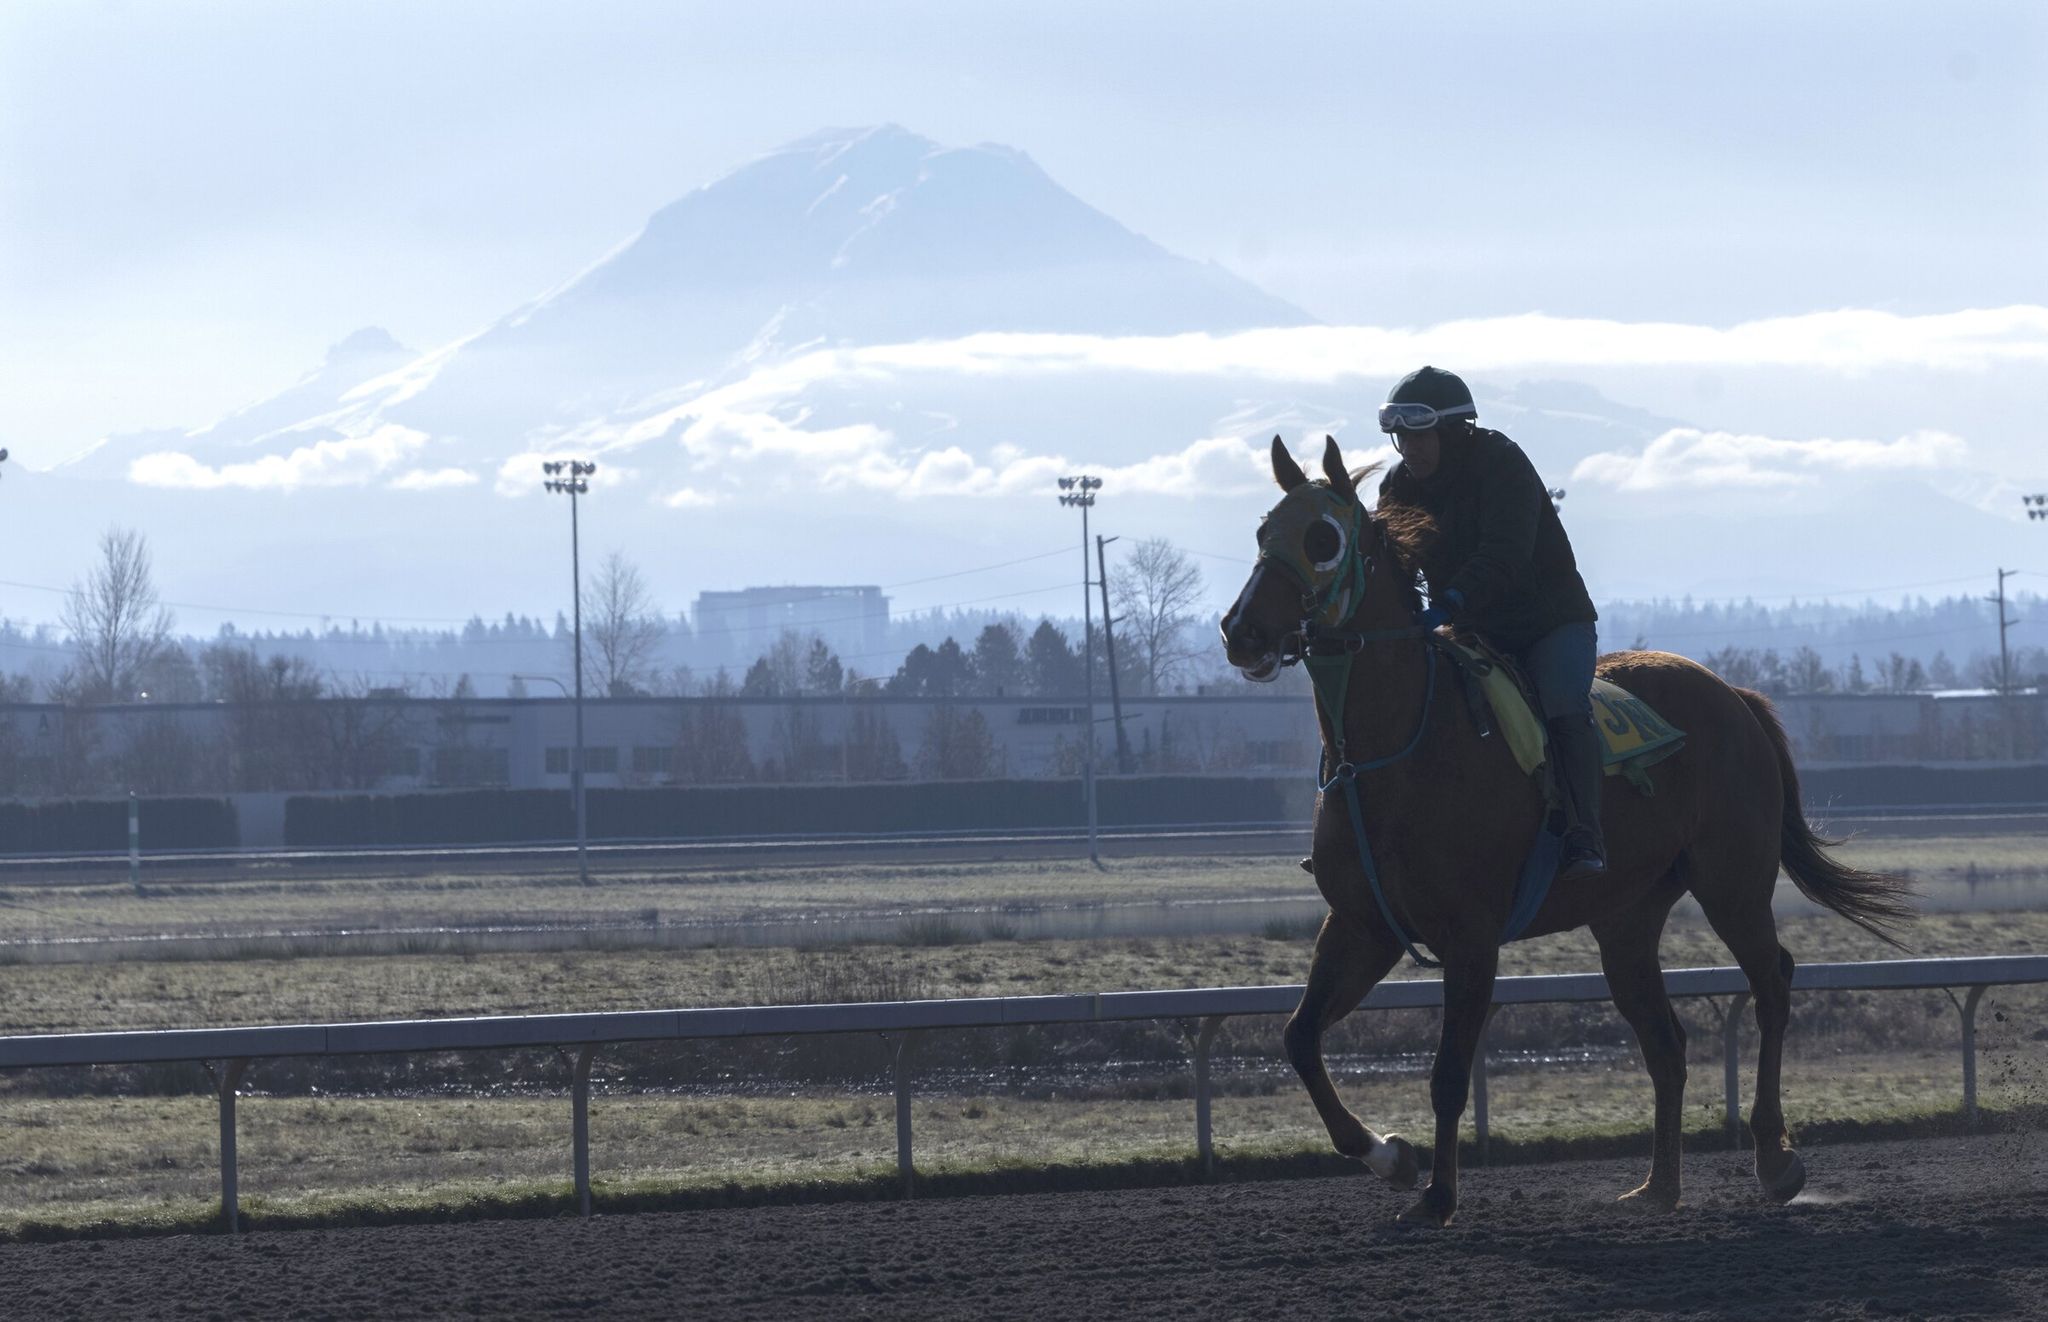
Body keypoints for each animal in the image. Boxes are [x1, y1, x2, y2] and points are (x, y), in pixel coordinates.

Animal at [1219, 435, 1914, 1227]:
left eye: (1324, 539)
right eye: (1263, 529)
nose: (1241, 631)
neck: (1401, 748)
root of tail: (1735, 696)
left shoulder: (1471, 938)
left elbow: (1449, 1074)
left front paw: (1438, 1196)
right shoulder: (1362, 925)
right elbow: (1299, 1038)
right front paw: (1390, 1158)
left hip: (1733, 884)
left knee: (1772, 985)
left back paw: (1774, 1158)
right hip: (1627, 919)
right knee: (1666, 1042)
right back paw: (1659, 1185)